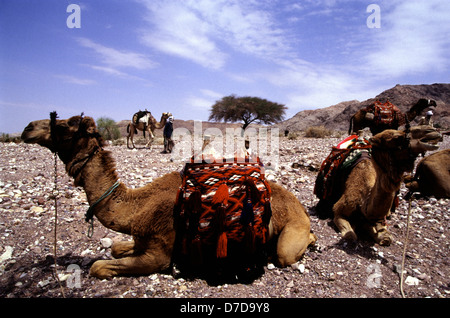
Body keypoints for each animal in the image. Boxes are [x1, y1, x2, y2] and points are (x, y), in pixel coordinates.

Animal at [22, 115, 316, 280]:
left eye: (63, 126)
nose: (27, 129)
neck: (136, 208)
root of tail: (301, 208)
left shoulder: (158, 253)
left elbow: (98, 267)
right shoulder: (142, 239)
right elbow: (116, 248)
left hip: (289, 238)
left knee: (285, 253)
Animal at [314, 128, 442, 245]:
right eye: (396, 138)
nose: (432, 132)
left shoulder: (377, 219)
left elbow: (386, 238)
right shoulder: (339, 212)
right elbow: (351, 236)